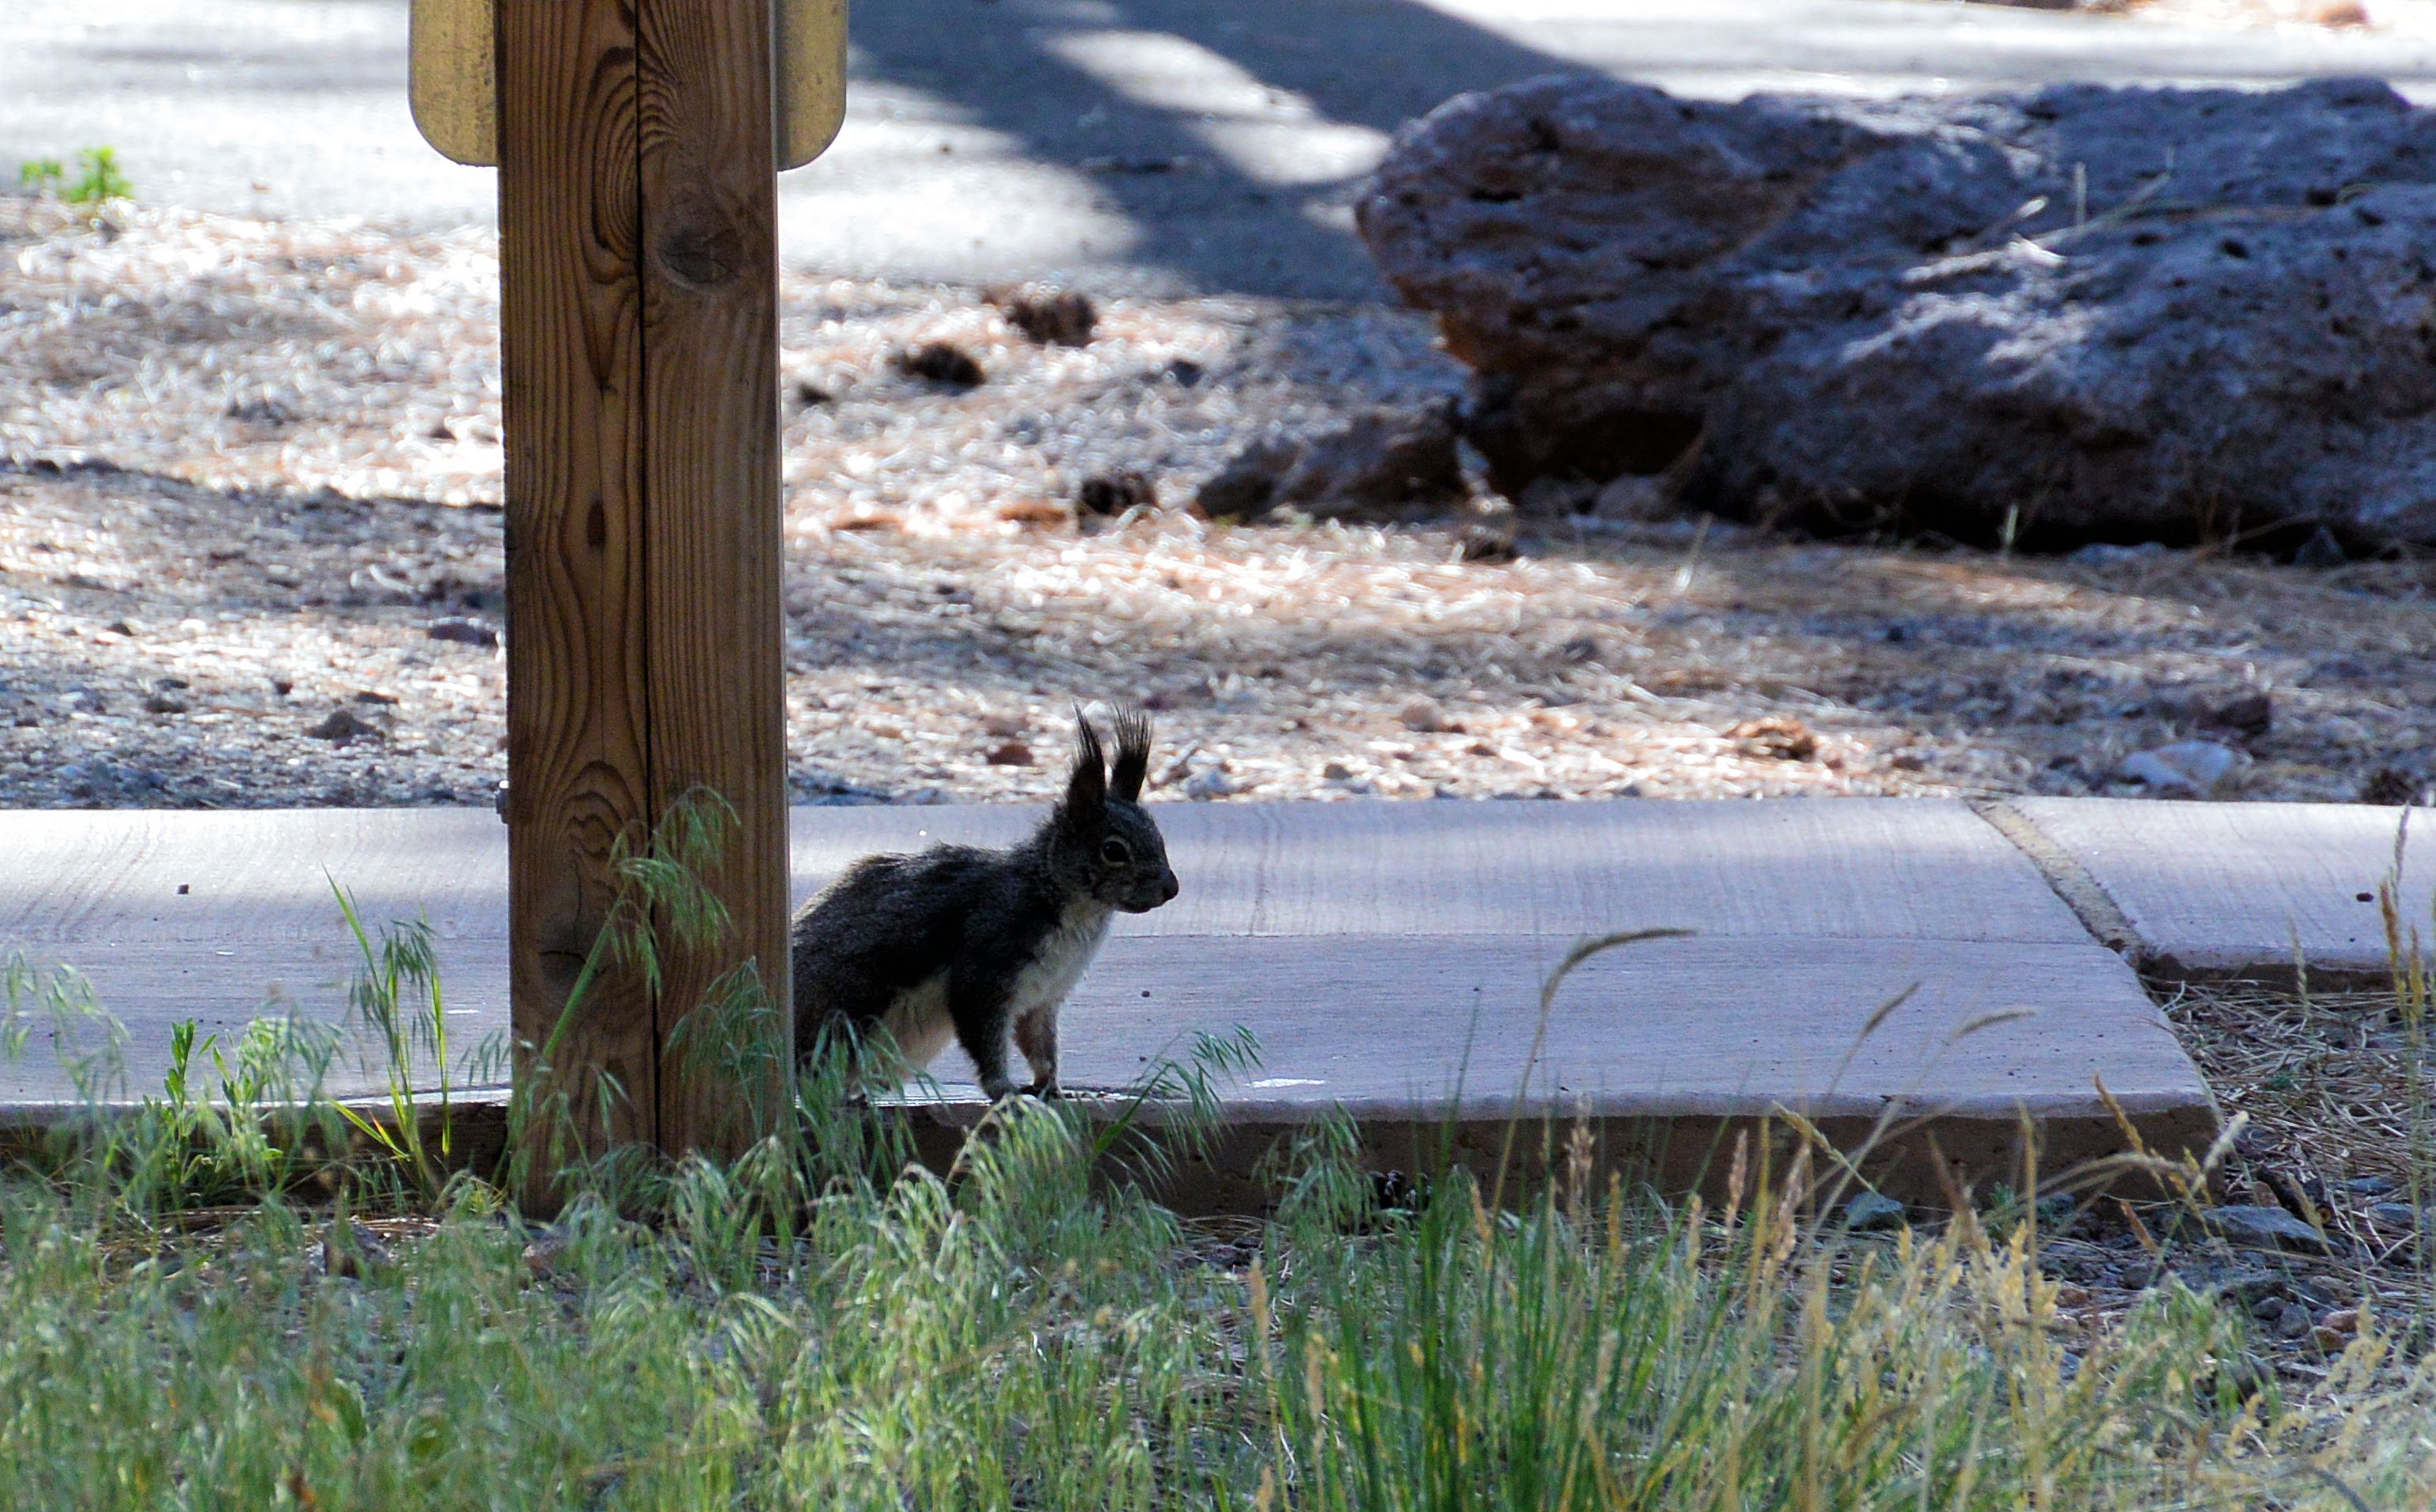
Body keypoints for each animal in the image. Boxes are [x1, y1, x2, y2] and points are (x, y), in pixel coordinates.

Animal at [789, 701, 1178, 1100]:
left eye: (1158, 835)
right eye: (1113, 850)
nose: (1171, 888)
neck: (1075, 910)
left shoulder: (1044, 997)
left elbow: (1039, 1044)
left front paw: (1053, 1087)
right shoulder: (988, 961)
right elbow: (985, 1036)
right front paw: (1004, 1088)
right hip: (846, 1014)